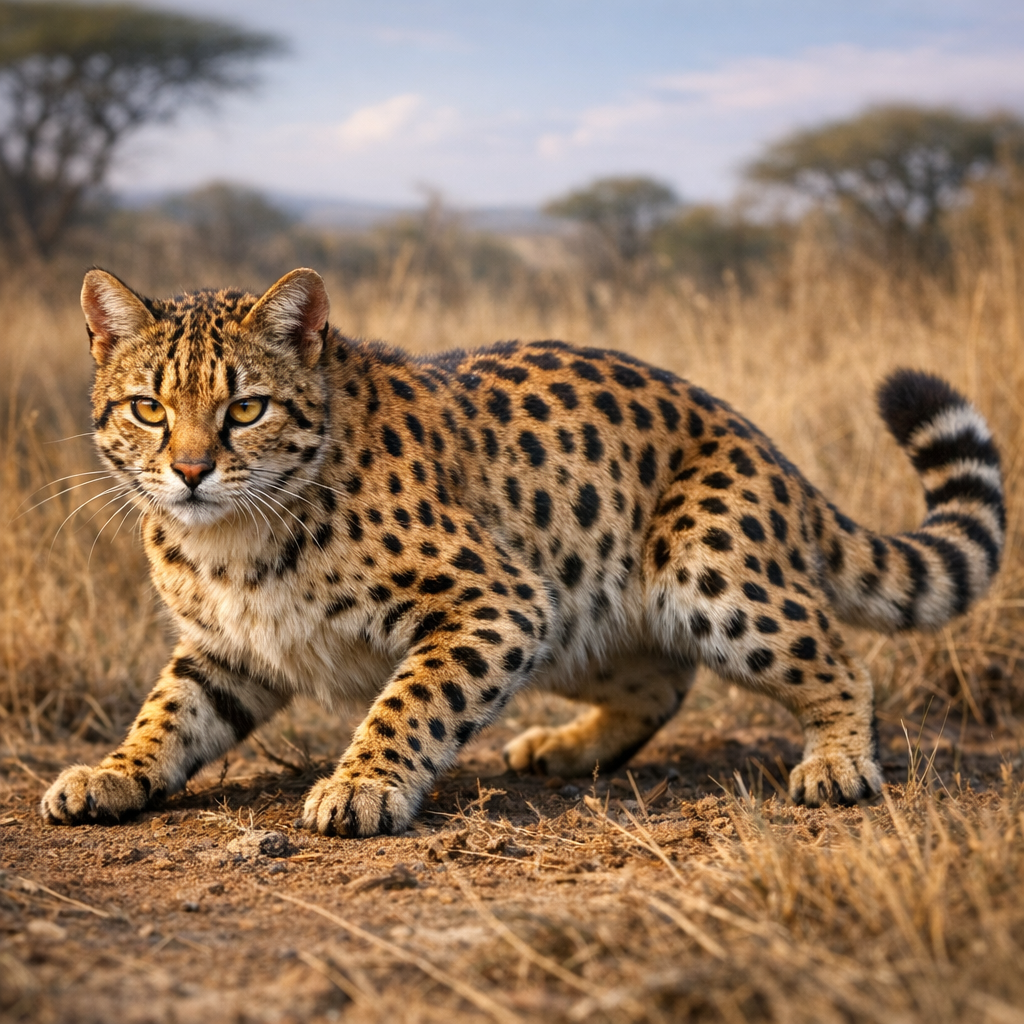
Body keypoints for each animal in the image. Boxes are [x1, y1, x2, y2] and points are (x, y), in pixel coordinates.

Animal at [40, 267, 1005, 836]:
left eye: (246, 408)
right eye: (149, 409)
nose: (190, 471)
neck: (231, 535)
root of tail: (751, 431)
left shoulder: (497, 600)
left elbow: (411, 702)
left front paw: (362, 786)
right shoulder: (227, 647)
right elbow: (168, 713)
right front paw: (112, 776)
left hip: (706, 571)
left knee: (839, 662)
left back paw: (838, 763)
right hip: (584, 613)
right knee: (659, 680)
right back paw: (567, 749)